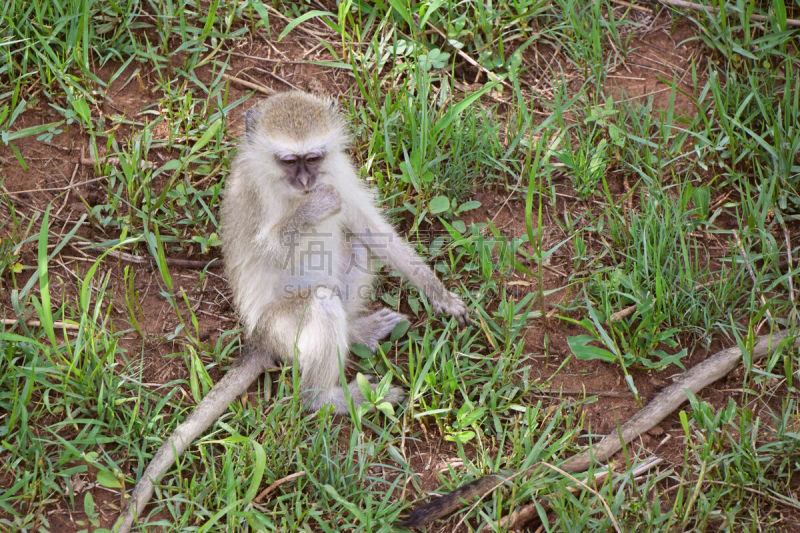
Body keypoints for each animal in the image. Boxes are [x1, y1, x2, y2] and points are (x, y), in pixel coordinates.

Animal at [115, 91, 472, 532]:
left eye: (313, 158)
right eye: (289, 161)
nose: (306, 183)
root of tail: (259, 338)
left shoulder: (340, 172)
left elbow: (372, 230)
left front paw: (439, 293)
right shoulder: (253, 191)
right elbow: (269, 249)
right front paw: (314, 208)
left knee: (357, 248)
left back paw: (357, 331)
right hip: (283, 327)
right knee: (320, 305)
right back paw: (331, 398)